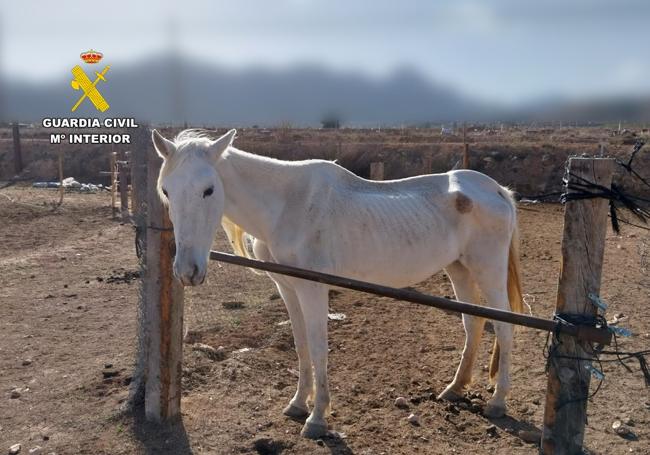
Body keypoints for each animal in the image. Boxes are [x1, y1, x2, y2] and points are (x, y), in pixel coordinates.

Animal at [152, 128, 520, 438]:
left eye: (208, 190)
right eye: (166, 191)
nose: (187, 271)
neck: (287, 206)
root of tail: (496, 190)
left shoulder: (313, 289)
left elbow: (318, 348)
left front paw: (317, 419)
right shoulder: (288, 288)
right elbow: (301, 346)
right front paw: (298, 404)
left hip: (488, 271)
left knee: (504, 328)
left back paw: (498, 402)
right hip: (459, 269)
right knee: (473, 323)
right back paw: (454, 389)